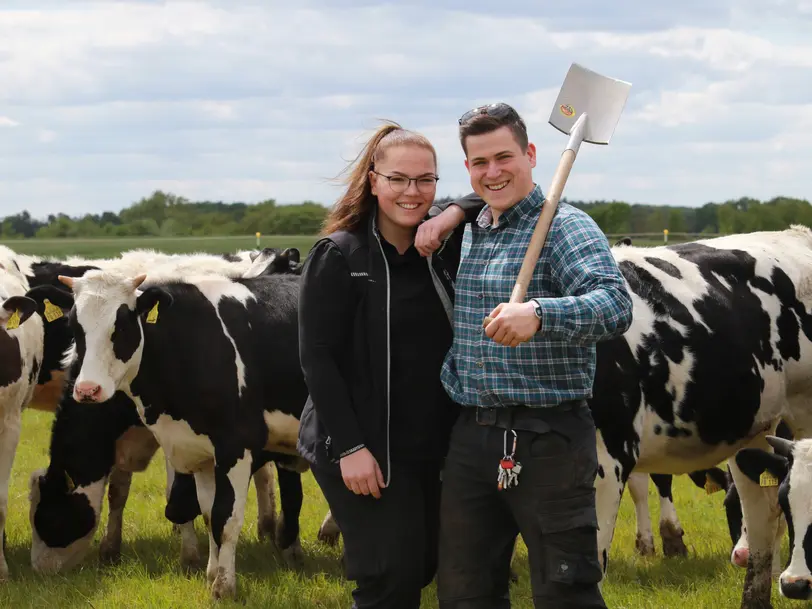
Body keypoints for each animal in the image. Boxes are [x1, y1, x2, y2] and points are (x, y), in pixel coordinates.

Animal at [54, 270, 308, 600]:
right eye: (75, 326)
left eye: (121, 325)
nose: (87, 390)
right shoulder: (198, 451)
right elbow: (210, 514)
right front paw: (211, 573)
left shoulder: (236, 445)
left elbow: (227, 518)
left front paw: (224, 587)